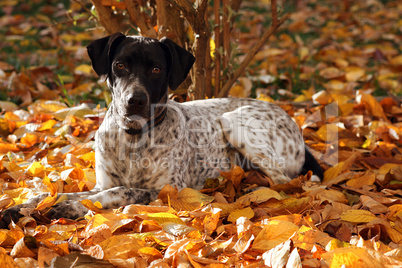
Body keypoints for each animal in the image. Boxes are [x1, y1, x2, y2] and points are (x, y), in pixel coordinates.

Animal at [0, 32, 320, 227]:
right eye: (119, 65)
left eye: (156, 69)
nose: (135, 100)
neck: (132, 138)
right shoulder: (102, 182)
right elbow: (61, 193)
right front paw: (24, 206)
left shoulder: (163, 192)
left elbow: (114, 193)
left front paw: (72, 209)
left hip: (234, 123)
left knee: (285, 181)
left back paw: (250, 188)